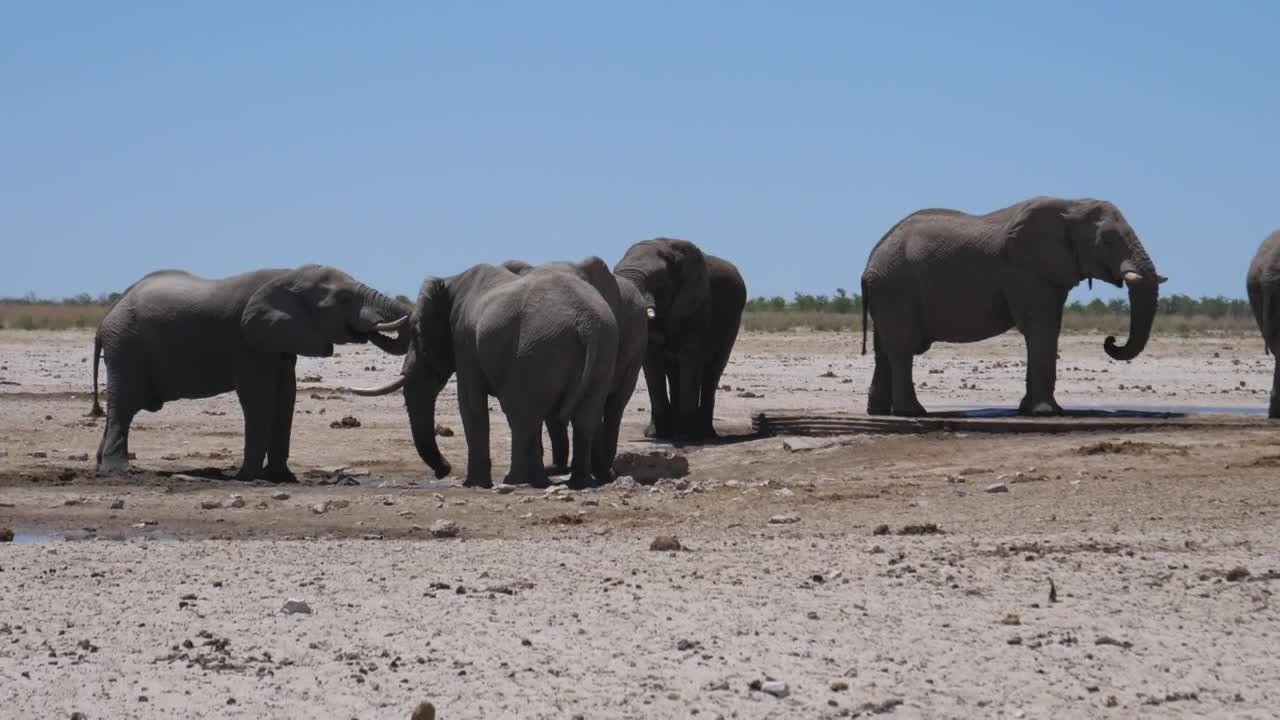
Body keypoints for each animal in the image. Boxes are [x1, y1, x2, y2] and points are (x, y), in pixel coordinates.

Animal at [90, 264, 411, 482]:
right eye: (343, 299)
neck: (287, 276)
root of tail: (104, 319)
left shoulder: (280, 341)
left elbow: (286, 396)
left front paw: (281, 477)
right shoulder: (247, 341)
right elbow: (258, 397)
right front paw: (248, 477)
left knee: (119, 407)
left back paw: (99, 466)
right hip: (125, 347)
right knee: (124, 405)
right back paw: (117, 472)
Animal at [351, 263, 618, 489]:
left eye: (417, 334)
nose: (444, 470)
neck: (451, 281)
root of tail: (587, 323)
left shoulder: (464, 340)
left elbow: (469, 403)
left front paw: (474, 484)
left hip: (538, 350)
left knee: (521, 415)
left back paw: (516, 480)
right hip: (601, 351)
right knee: (582, 417)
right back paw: (575, 483)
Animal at [613, 238, 712, 441]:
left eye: (657, 281)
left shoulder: (695, 307)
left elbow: (690, 358)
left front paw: (686, 437)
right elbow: (651, 361)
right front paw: (656, 435)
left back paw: (704, 433)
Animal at [860, 196, 1166, 416]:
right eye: (1108, 240)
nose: (1110, 340)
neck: (1071, 204)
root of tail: (870, 261)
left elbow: (1048, 327)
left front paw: (1030, 410)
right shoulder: (1025, 270)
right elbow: (1040, 327)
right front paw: (1047, 413)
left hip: (887, 292)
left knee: (884, 349)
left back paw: (879, 412)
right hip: (896, 289)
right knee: (902, 348)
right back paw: (913, 412)